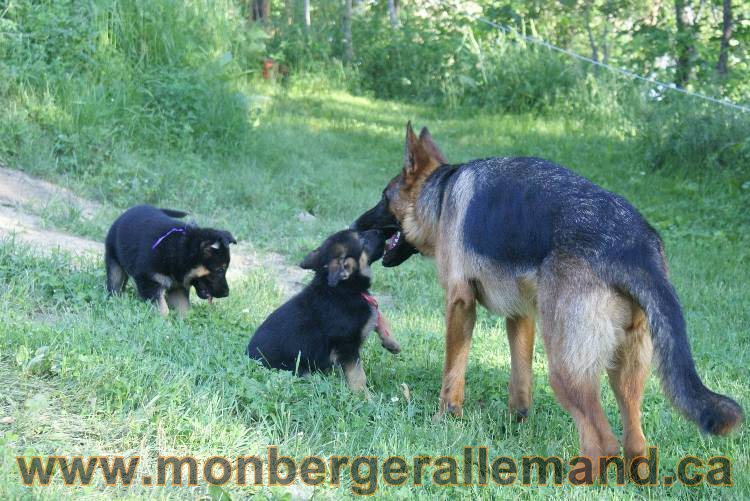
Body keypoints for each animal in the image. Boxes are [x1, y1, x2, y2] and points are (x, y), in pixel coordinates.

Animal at [104, 204, 236, 314]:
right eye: (220, 270)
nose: (227, 293)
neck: (179, 250)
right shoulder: (149, 281)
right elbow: (163, 308)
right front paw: (165, 324)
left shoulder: (178, 287)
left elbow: (184, 308)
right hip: (115, 265)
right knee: (115, 283)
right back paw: (115, 300)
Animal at [247, 229, 400, 392]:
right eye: (362, 239)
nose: (380, 231)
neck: (343, 289)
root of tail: (247, 356)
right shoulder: (346, 346)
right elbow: (357, 375)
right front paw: (364, 395)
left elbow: (379, 315)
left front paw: (392, 342)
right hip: (296, 368)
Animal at [356, 123, 744, 470]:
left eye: (384, 197)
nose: (357, 227)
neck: (441, 192)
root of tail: (635, 246)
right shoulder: (521, 316)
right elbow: (520, 381)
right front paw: (517, 422)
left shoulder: (459, 304)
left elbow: (452, 372)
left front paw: (445, 418)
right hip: (625, 372)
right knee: (635, 444)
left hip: (565, 369)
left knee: (603, 441)